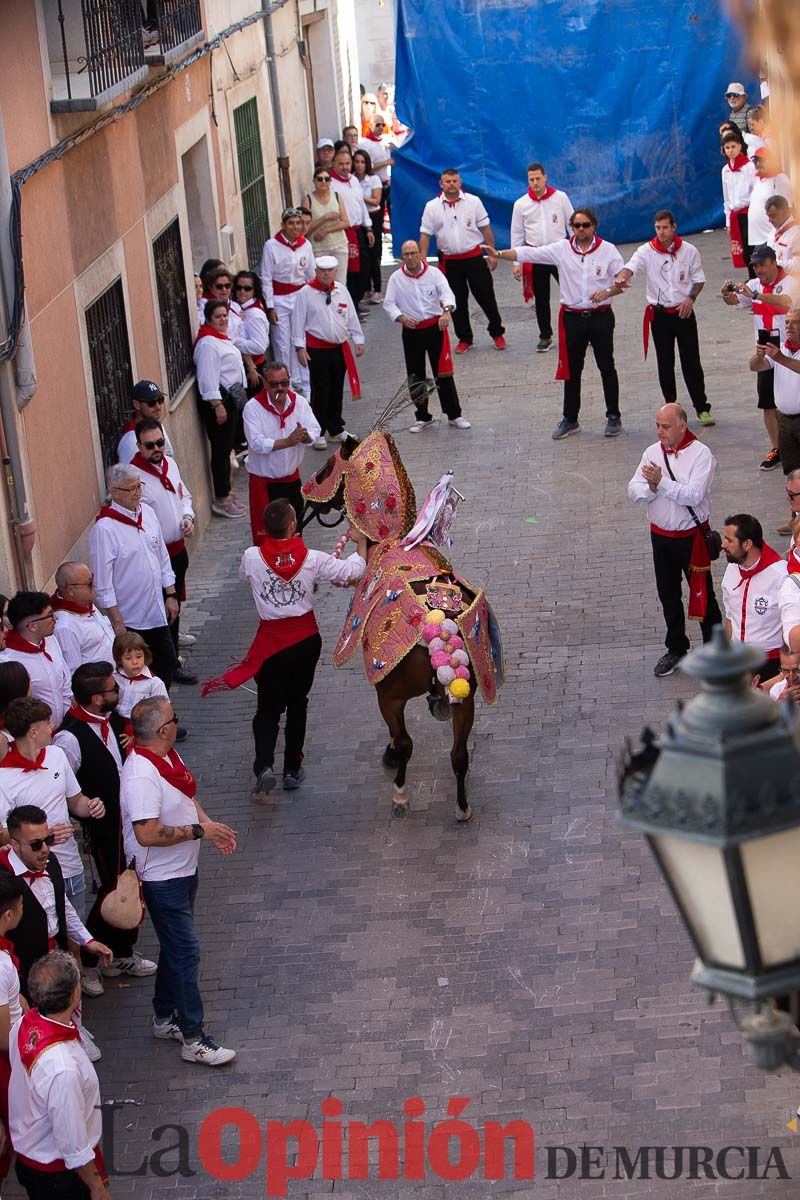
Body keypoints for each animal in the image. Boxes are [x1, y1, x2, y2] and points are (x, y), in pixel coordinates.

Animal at [299, 432, 501, 825]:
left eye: (328, 466)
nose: (303, 492)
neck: (395, 541)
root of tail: (442, 619)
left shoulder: (389, 695)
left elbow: (401, 740)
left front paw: (392, 761)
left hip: (391, 694)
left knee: (408, 743)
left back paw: (401, 792)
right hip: (467, 697)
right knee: (459, 755)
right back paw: (462, 806)